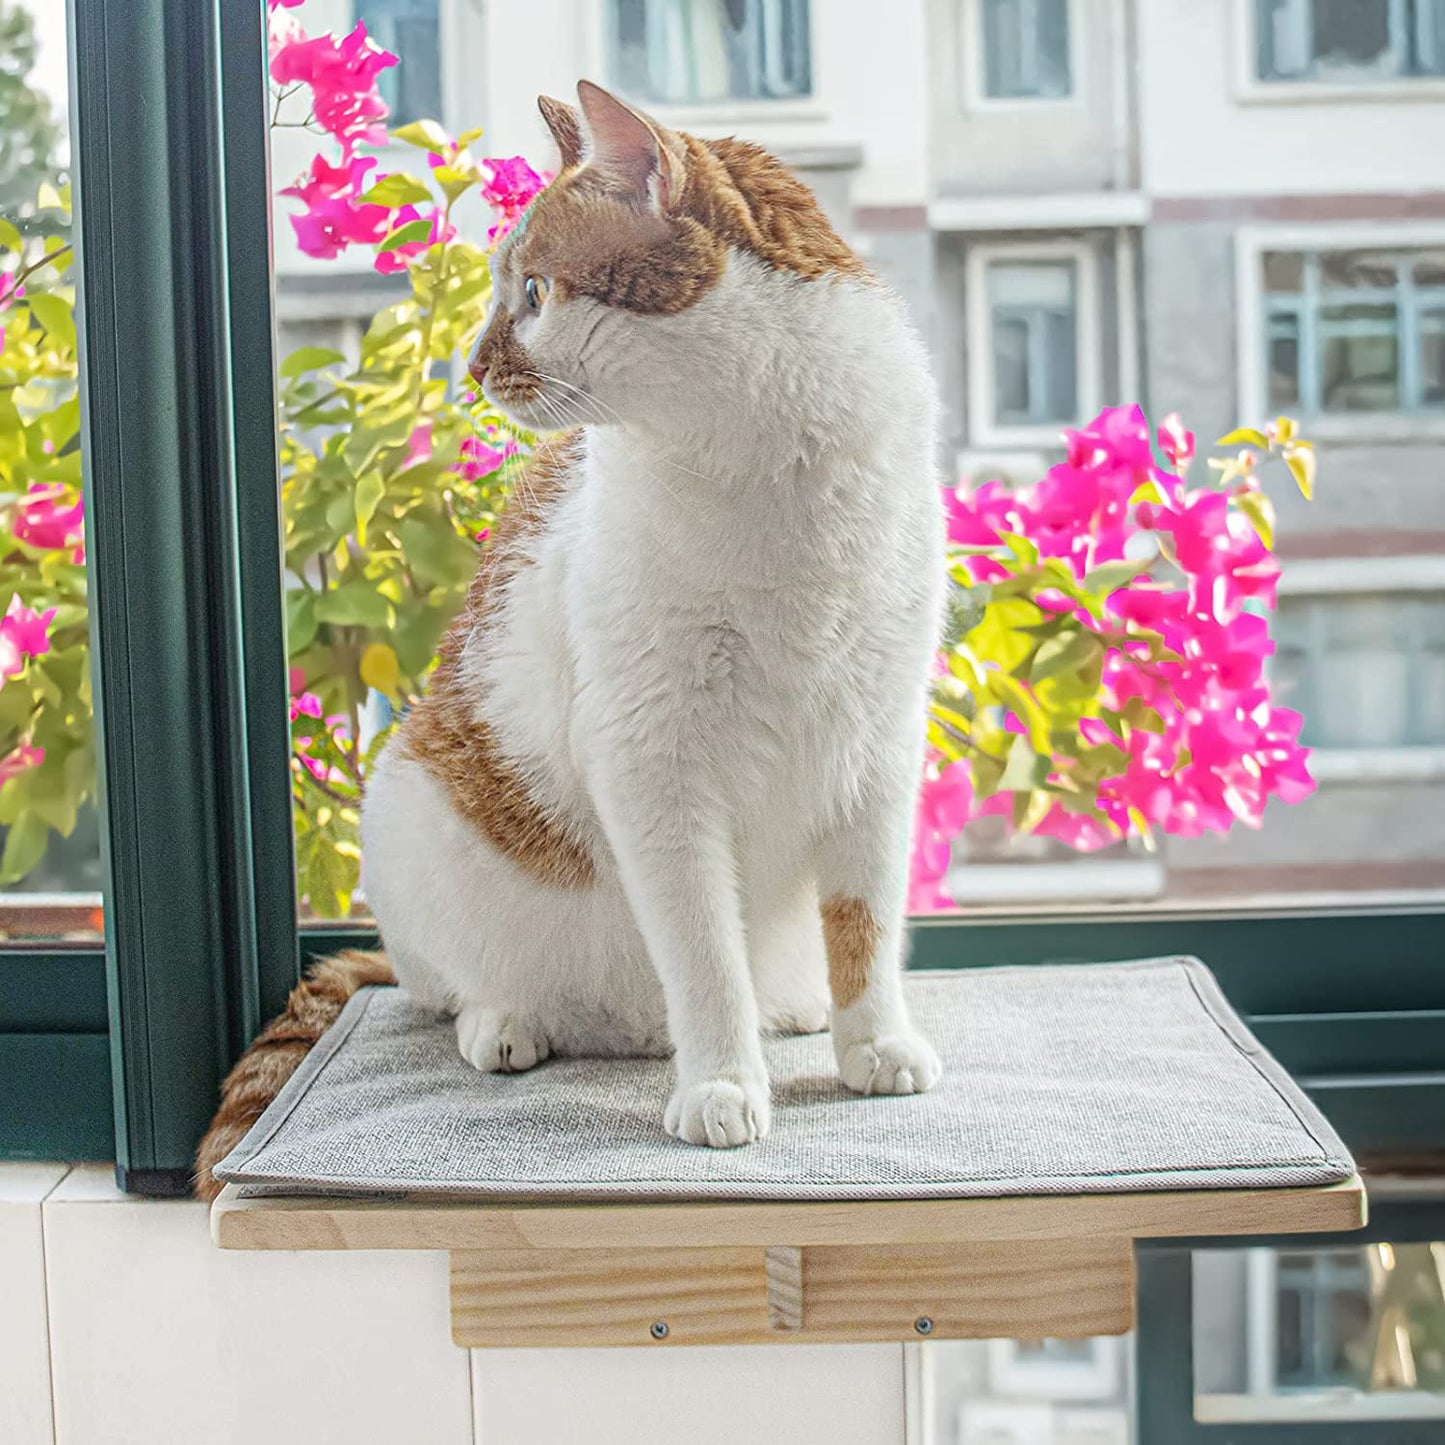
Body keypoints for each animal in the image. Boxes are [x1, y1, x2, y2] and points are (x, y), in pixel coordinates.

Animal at [200, 76, 947, 1184]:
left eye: (535, 294)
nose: (472, 367)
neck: (769, 475)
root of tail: (622, 1026)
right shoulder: (652, 764)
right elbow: (703, 952)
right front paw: (720, 1083)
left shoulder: (879, 747)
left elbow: (864, 920)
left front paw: (875, 1043)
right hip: (407, 805)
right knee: (447, 982)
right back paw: (507, 1023)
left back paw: (793, 1007)